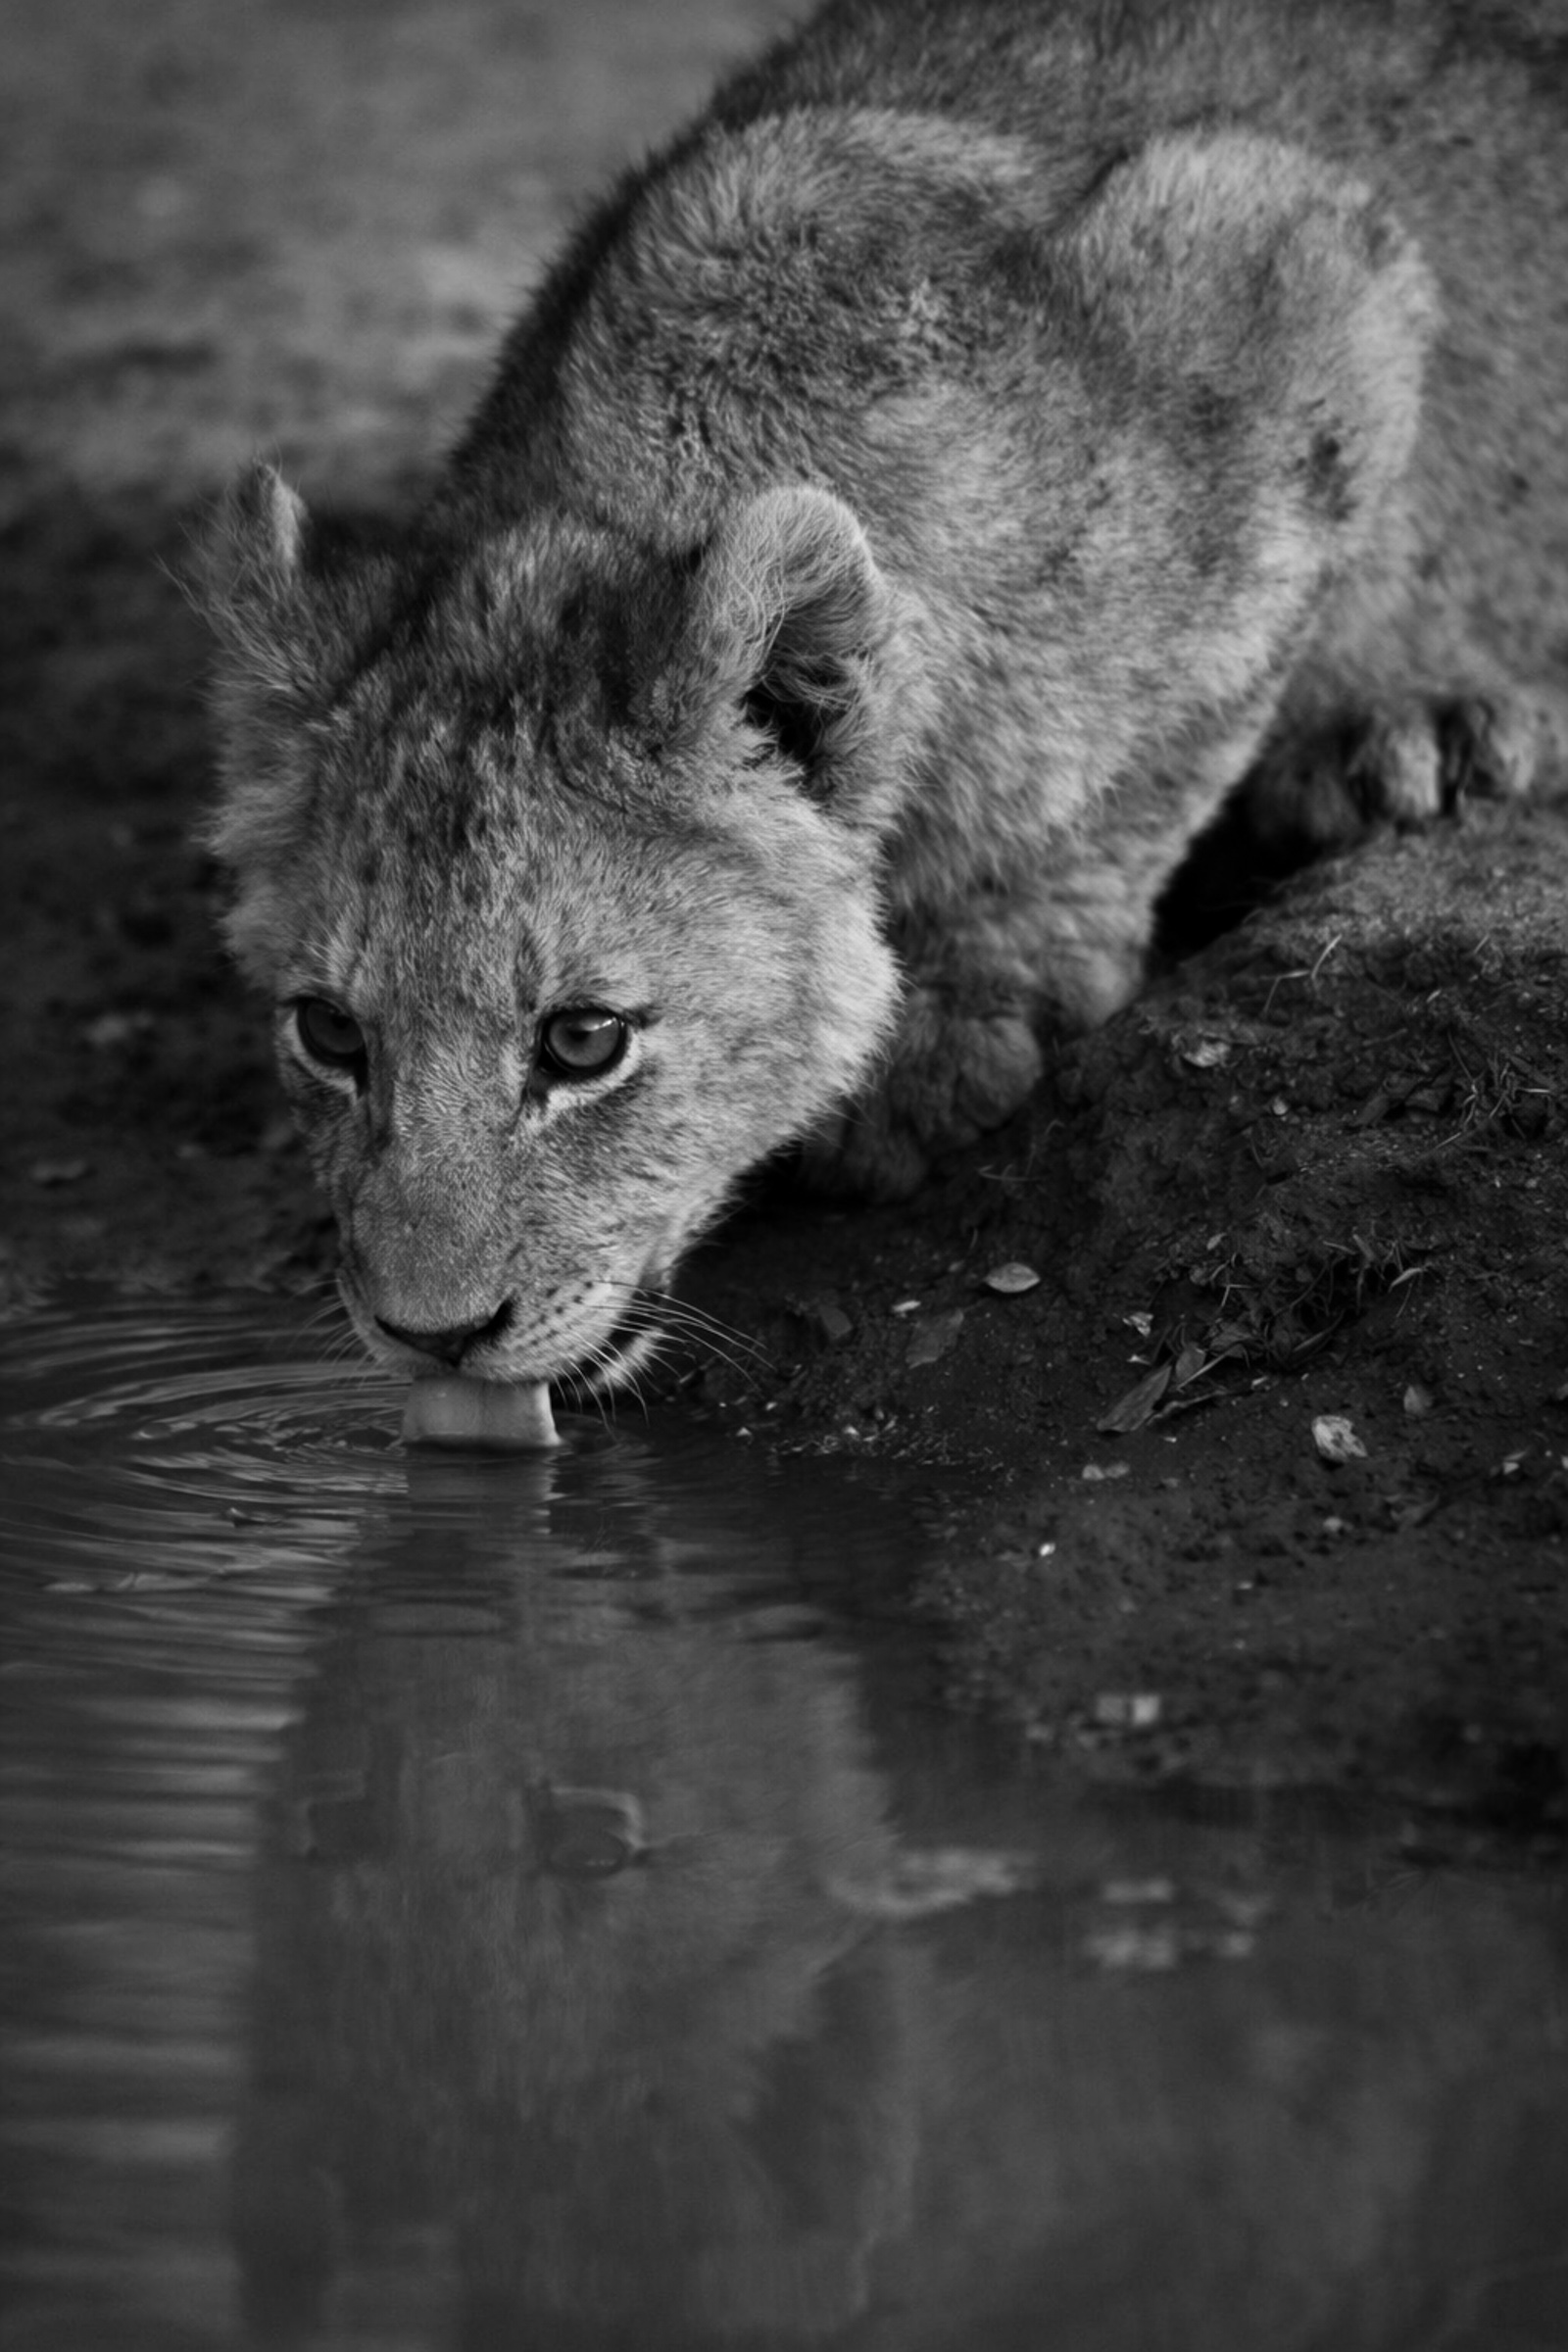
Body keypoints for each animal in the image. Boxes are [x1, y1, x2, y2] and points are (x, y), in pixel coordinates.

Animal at [203, 0, 1568, 1398]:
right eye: (329, 1033)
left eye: (583, 1041)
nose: (428, 1337)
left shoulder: (1298, 258)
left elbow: (1130, 782)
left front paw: (956, 1028)